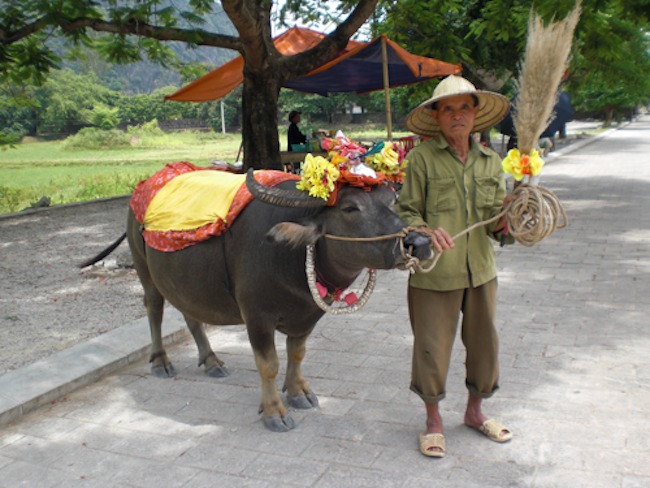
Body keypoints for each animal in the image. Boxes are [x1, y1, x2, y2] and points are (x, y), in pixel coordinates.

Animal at [86, 168, 430, 430]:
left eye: (393, 200)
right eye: (349, 208)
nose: (418, 242)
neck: (292, 258)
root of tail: (146, 184)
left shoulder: (306, 315)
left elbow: (297, 354)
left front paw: (298, 393)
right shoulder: (256, 317)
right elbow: (269, 365)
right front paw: (274, 411)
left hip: (185, 282)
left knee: (190, 314)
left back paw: (211, 361)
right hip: (145, 270)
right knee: (154, 309)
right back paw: (160, 362)